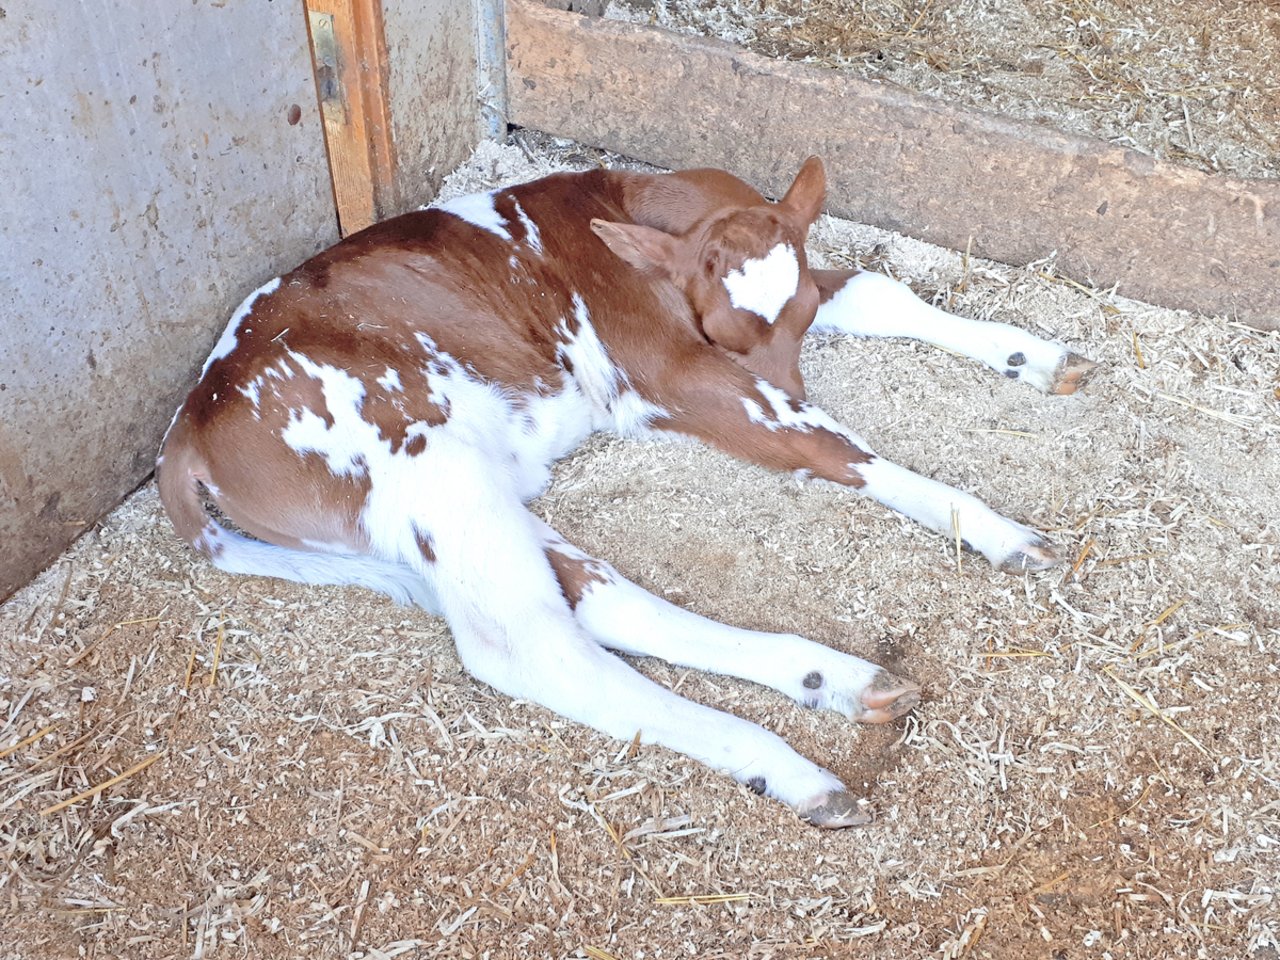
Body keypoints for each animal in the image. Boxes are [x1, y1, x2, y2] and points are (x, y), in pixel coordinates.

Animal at [160, 158, 1095, 829]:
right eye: (717, 331)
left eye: (795, 316)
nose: (785, 378)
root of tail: (191, 422)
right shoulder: (677, 373)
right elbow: (830, 444)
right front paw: (996, 529)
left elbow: (874, 288)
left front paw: (1036, 356)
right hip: (432, 470)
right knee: (536, 649)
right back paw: (792, 767)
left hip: (459, 495)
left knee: (605, 602)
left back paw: (830, 680)